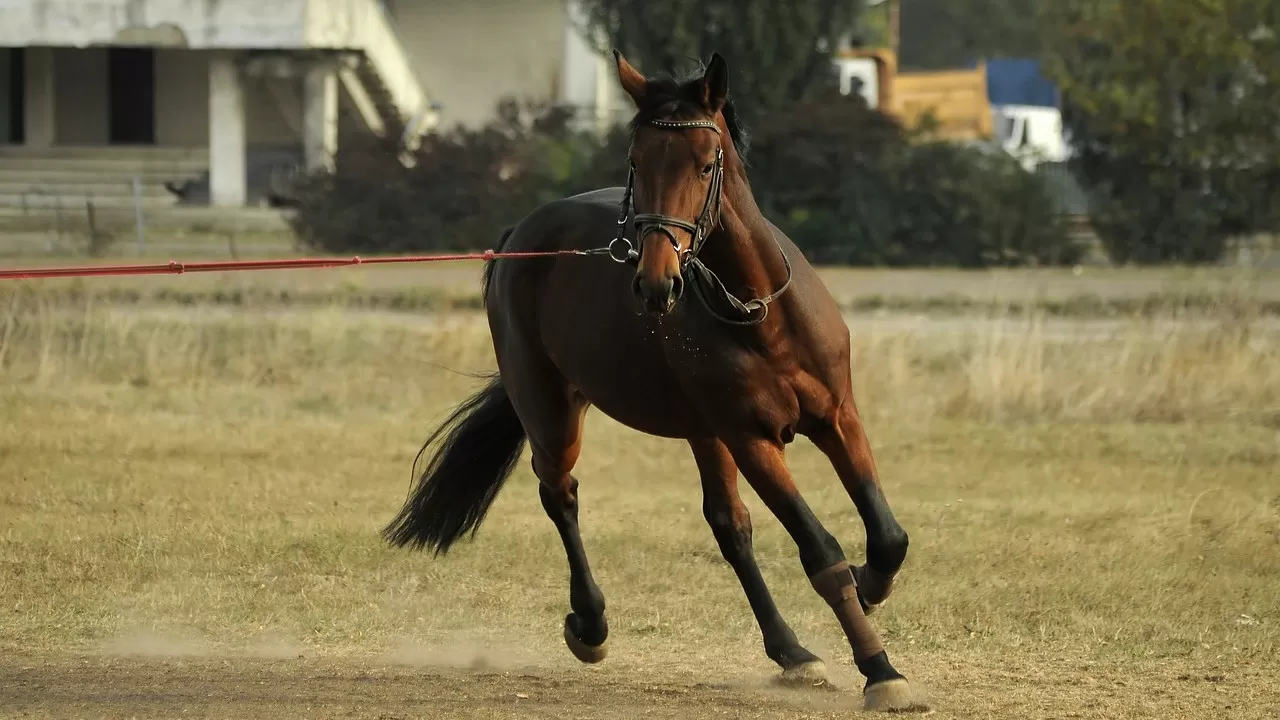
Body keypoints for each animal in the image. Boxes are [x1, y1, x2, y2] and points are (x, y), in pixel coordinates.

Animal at [378, 51, 921, 712]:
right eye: (637, 160)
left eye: (706, 162)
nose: (655, 281)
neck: (758, 313)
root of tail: (521, 238)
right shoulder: (752, 441)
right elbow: (821, 551)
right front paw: (880, 669)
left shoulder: (837, 417)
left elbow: (887, 535)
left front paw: (871, 589)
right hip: (554, 410)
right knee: (560, 494)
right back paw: (590, 625)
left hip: (703, 433)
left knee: (729, 526)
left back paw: (791, 652)